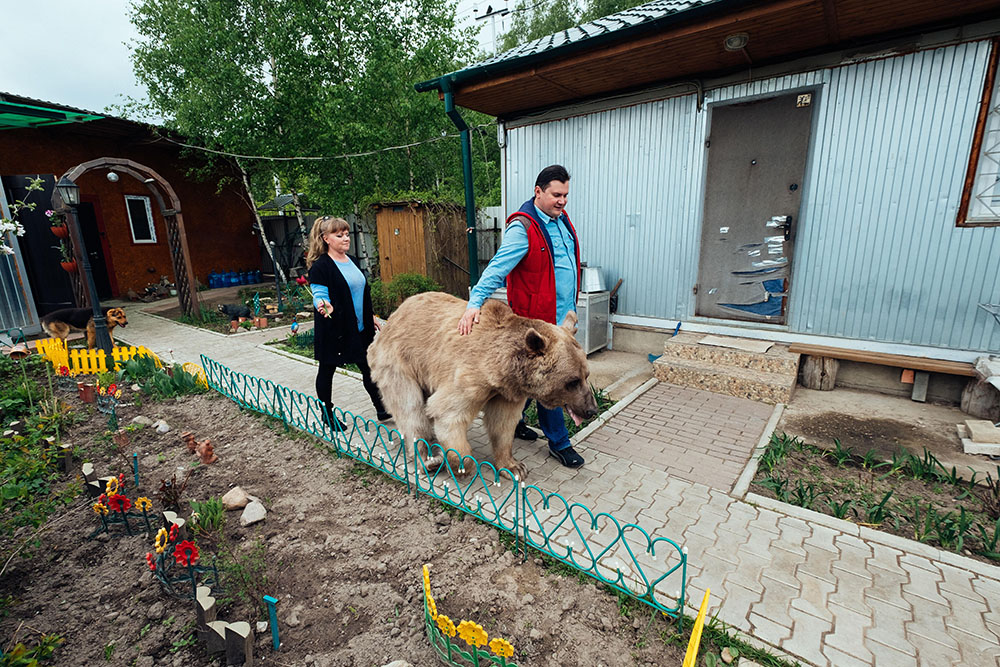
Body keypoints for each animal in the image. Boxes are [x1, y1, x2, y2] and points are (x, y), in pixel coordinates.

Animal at [370, 294, 596, 480]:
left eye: (586, 375)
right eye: (572, 381)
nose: (591, 409)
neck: (500, 371)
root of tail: (393, 316)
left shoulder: (507, 393)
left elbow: (502, 424)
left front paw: (514, 467)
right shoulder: (469, 377)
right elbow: (448, 414)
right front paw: (457, 464)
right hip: (401, 361)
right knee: (410, 409)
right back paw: (427, 459)